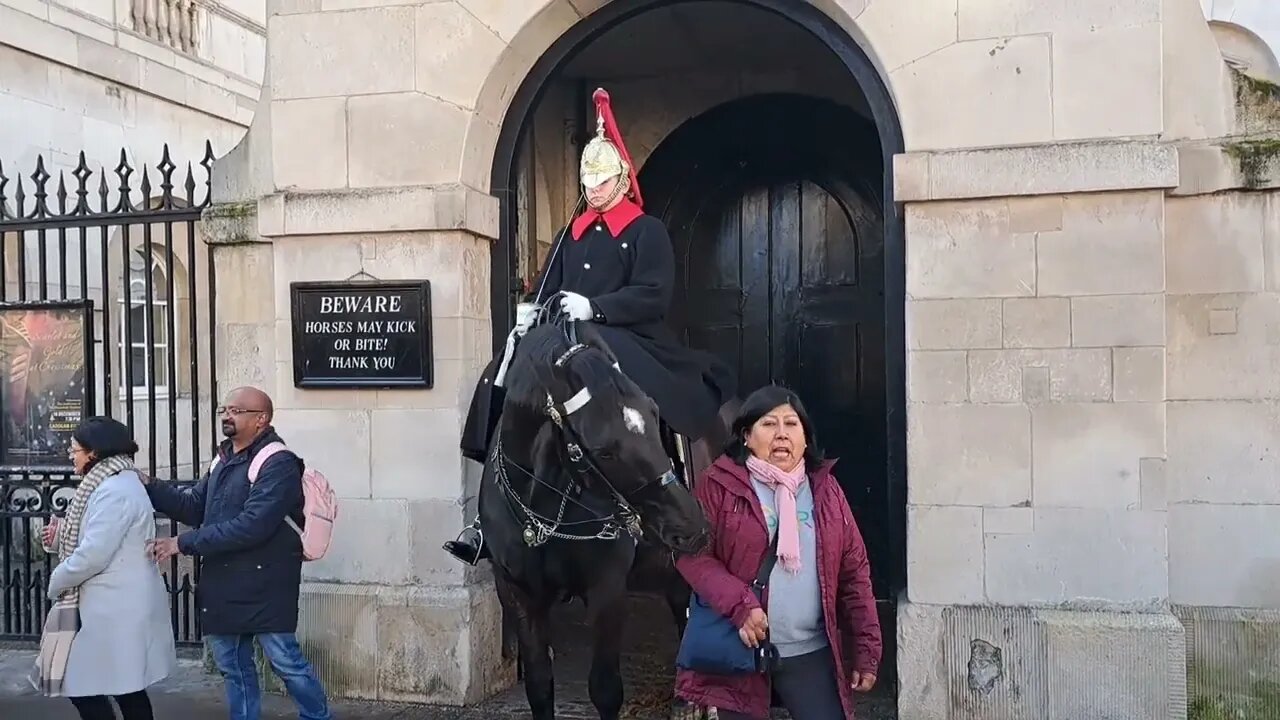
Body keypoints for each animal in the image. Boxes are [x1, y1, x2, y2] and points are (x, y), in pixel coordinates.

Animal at [481, 319, 716, 717]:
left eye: (655, 414)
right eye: (604, 451)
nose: (691, 527)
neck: (543, 509)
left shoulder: (607, 589)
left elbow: (605, 690)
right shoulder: (517, 591)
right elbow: (539, 686)